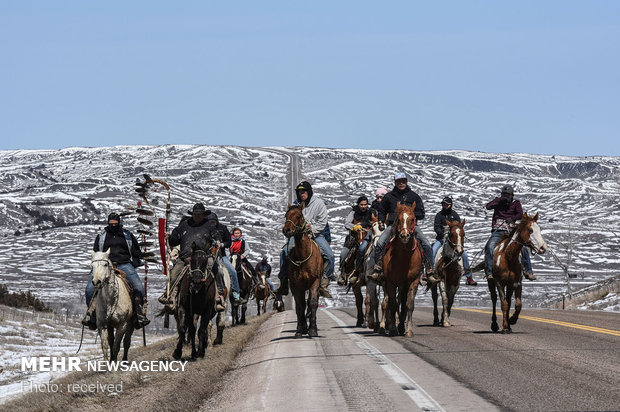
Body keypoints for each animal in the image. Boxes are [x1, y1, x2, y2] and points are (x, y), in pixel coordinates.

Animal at [282, 204, 322, 336]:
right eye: (286, 215)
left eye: (298, 215)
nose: (286, 230)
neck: (302, 257)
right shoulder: (295, 285)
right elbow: (300, 306)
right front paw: (300, 329)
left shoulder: (314, 282)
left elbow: (313, 303)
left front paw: (313, 329)